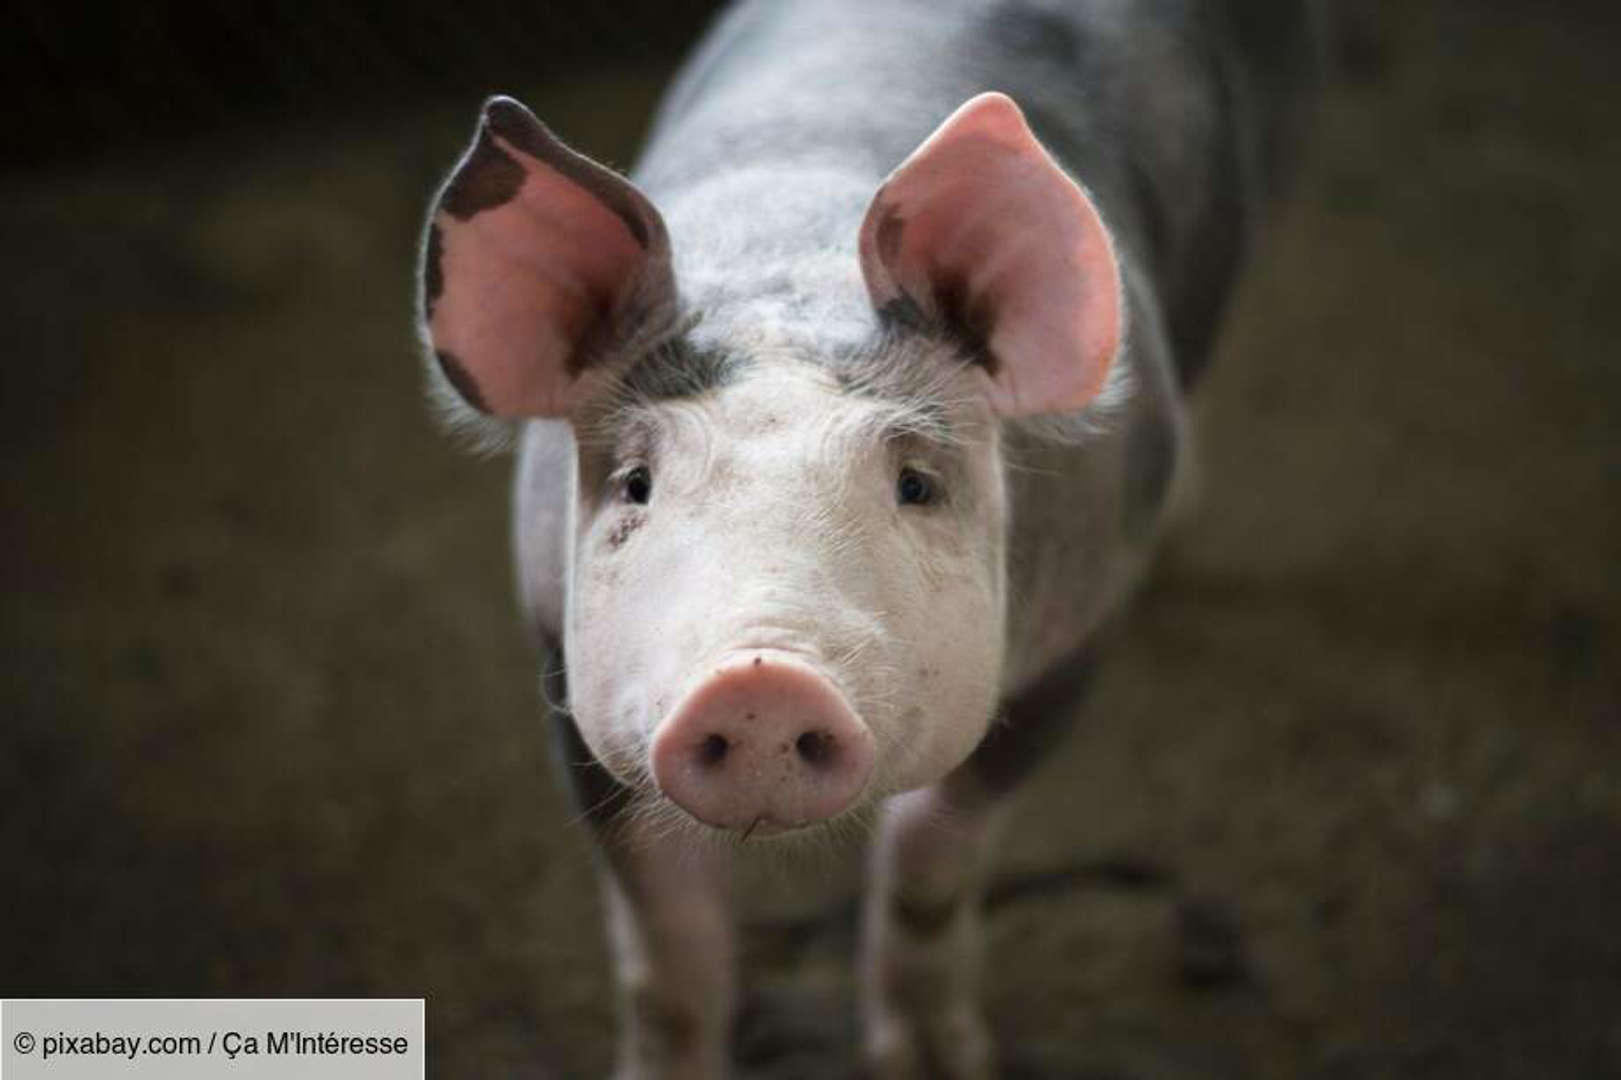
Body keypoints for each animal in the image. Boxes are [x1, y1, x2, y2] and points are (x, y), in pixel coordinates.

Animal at [416, 0, 1315, 1075]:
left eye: (914, 483)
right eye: (636, 483)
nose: (759, 678)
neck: (791, 261)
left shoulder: (1076, 632)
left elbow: (930, 866)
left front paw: (936, 1061)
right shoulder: (561, 659)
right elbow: (666, 946)